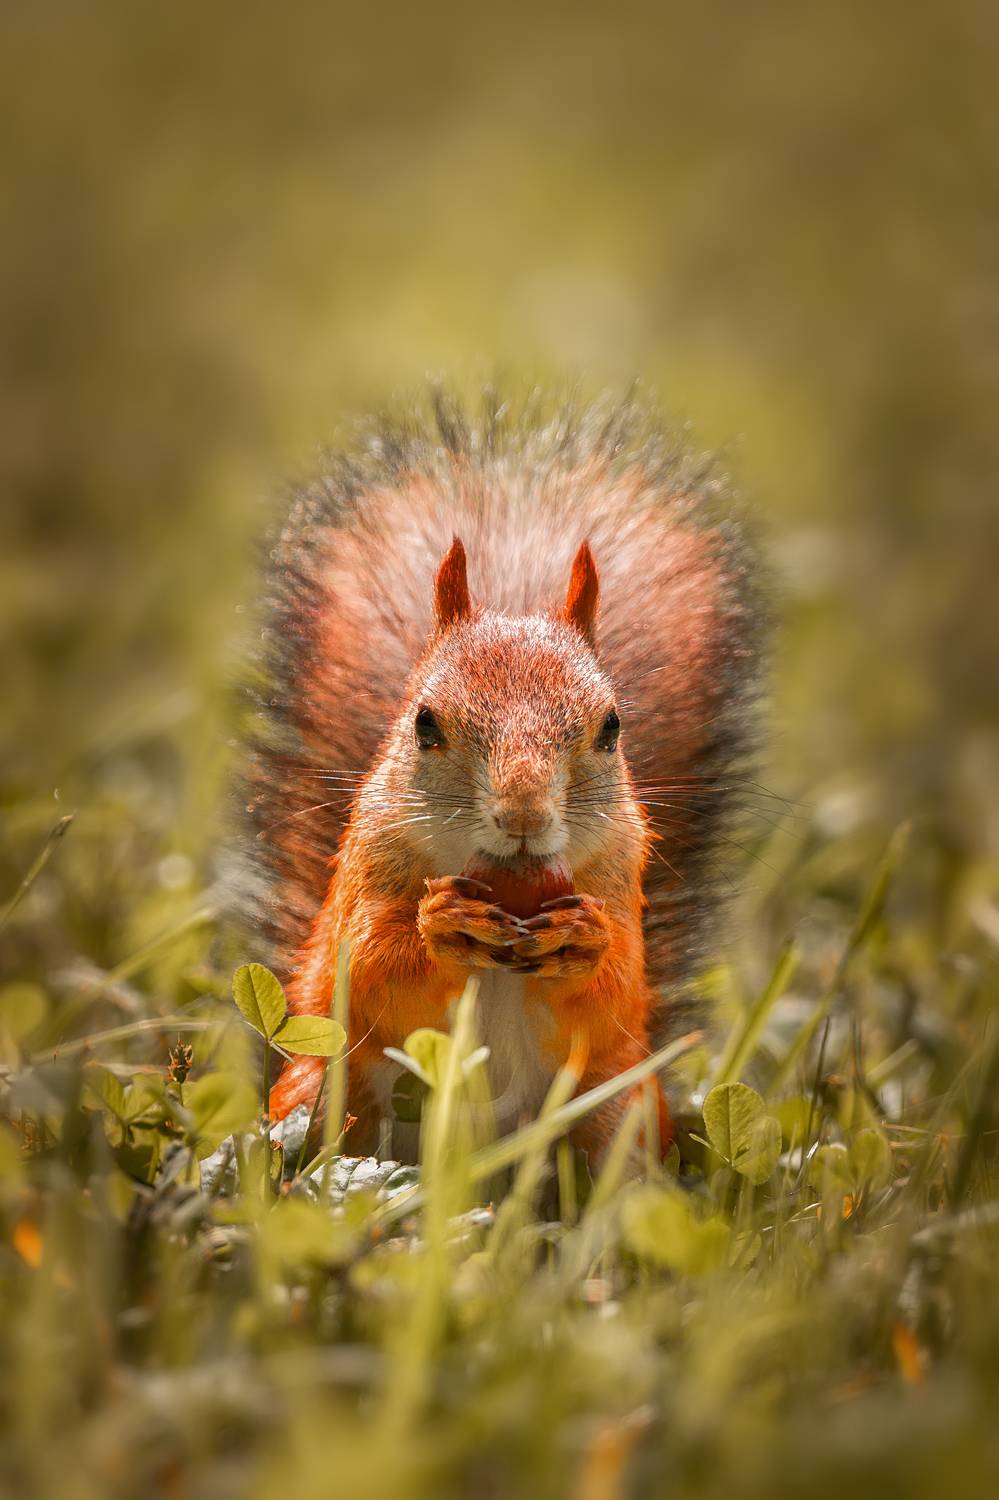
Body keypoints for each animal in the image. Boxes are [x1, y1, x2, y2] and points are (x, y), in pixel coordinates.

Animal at [237, 393, 763, 1162]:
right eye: (424, 723)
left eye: (611, 727)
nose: (522, 815)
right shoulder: (369, 871)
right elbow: (368, 970)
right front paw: (440, 924)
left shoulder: (617, 877)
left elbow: (613, 995)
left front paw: (582, 938)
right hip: (325, 1095)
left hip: (619, 1111)